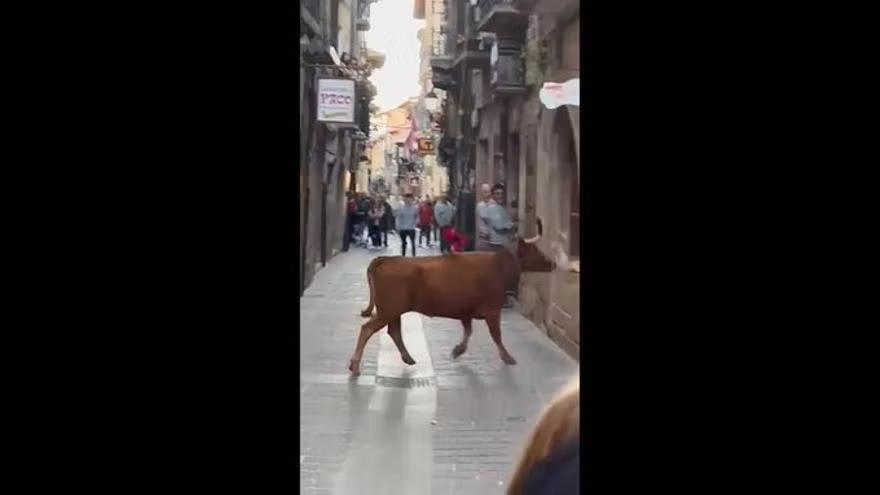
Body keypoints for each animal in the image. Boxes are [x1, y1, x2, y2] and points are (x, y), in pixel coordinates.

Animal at [348, 221, 552, 376]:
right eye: (533, 249)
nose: (552, 263)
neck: (498, 265)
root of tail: (384, 259)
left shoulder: (466, 312)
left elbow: (468, 331)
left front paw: (458, 350)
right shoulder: (493, 310)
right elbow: (496, 335)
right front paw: (508, 357)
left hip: (393, 311)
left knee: (394, 332)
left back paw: (408, 358)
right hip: (388, 310)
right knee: (367, 329)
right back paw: (355, 366)